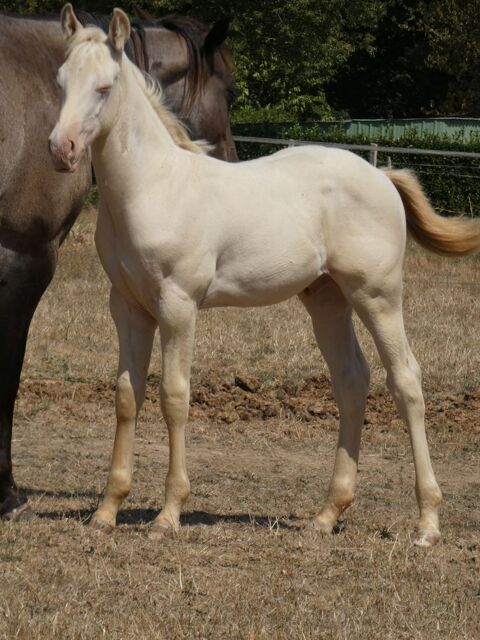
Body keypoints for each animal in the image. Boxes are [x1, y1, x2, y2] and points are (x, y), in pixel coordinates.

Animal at [50, 5, 480, 547]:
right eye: (61, 82)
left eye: (105, 87)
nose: (61, 149)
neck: (155, 187)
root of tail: (381, 176)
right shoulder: (126, 306)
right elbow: (128, 396)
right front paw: (107, 510)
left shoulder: (178, 305)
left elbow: (174, 396)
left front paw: (168, 513)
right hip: (327, 299)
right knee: (351, 381)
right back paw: (327, 515)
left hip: (377, 295)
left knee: (405, 381)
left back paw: (426, 523)